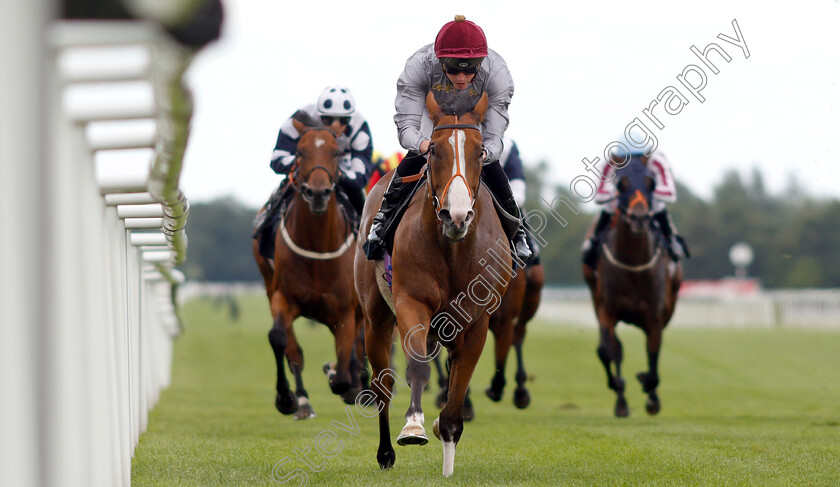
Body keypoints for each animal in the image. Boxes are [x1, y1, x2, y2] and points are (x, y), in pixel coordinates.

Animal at [253, 110, 364, 420]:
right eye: (300, 152)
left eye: (337, 152)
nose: (317, 193)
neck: (317, 247)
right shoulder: (283, 297)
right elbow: (280, 339)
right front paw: (286, 398)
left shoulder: (345, 310)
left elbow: (343, 369)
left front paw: (341, 376)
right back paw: (302, 400)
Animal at [354, 90, 512, 476]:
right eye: (435, 150)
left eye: (479, 152)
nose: (456, 216)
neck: (453, 249)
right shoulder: (413, 303)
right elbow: (416, 366)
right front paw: (413, 427)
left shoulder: (476, 321)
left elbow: (457, 392)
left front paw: (447, 452)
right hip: (376, 316)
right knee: (384, 382)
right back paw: (385, 453)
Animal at [584, 155, 684, 416]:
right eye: (620, 184)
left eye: (651, 183)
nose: (639, 217)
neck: (633, 266)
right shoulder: (606, 310)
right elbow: (607, 351)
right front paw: (619, 387)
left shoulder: (655, 315)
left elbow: (653, 352)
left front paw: (650, 391)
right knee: (615, 349)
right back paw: (621, 400)